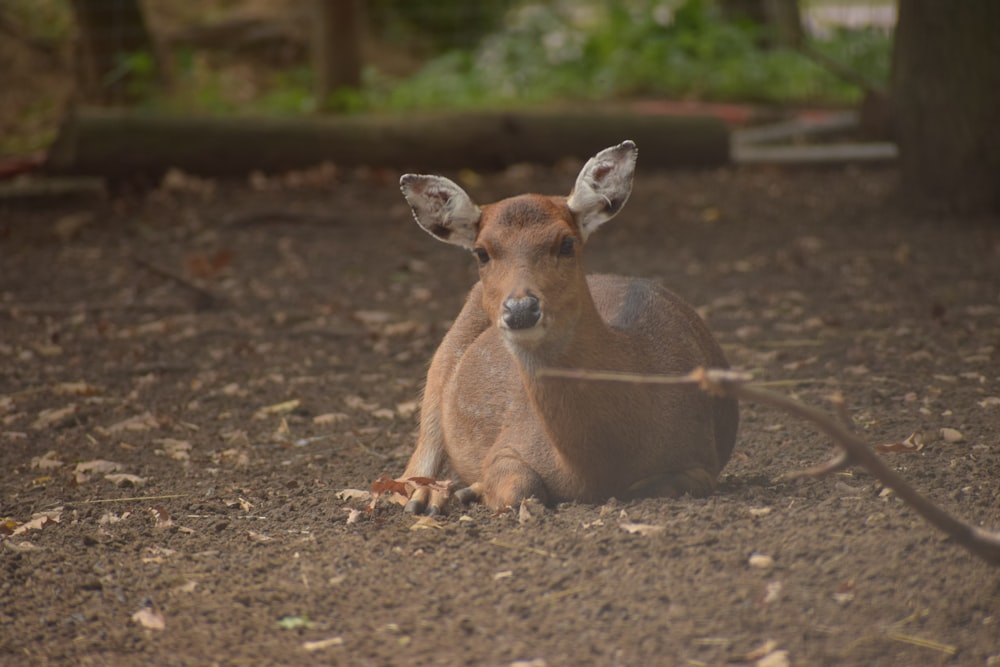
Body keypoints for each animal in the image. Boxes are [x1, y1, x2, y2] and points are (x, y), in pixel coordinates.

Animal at [392, 142, 744, 516]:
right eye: (481, 252)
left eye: (566, 243)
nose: (521, 309)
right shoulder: (507, 445)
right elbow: (520, 487)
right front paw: (475, 489)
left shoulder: (701, 454)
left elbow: (662, 484)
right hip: (445, 353)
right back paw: (426, 496)